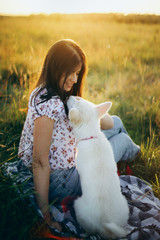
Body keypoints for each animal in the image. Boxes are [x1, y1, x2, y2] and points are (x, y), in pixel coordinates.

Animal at [67, 96, 129, 239]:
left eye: (76, 102)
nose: (70, 96)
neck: (91, 136)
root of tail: (104, 223)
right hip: (124, 205)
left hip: (77, 205)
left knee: (89, 231)